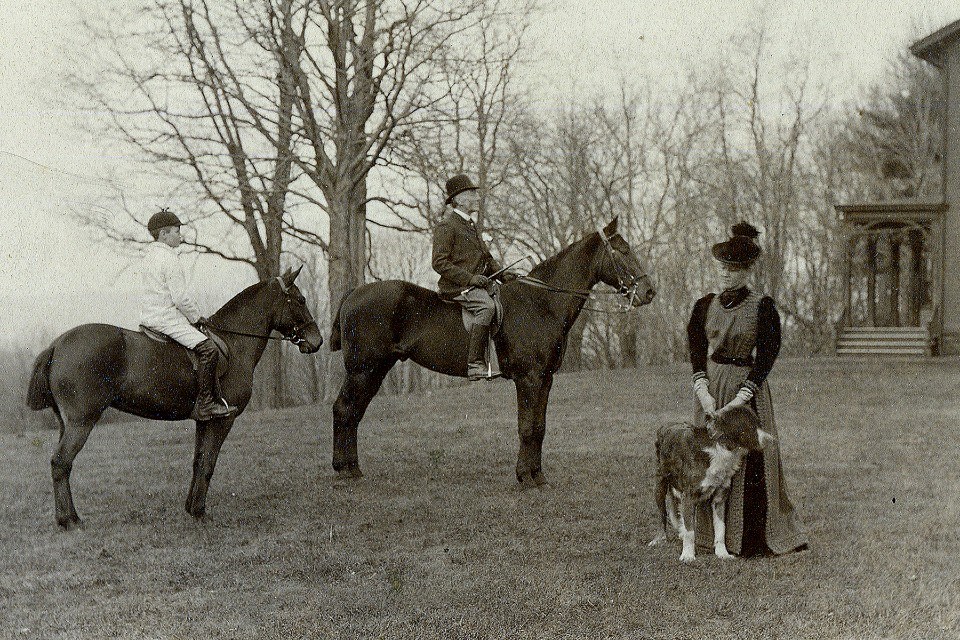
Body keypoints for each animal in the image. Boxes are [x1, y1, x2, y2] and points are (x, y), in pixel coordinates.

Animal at [26, 266, 324, 528]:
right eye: (300, 300)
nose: (317, 340)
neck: (234, 342)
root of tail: (56, 344)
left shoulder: (204, 420)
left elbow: (198, 462)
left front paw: (191, 509)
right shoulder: (223, 420)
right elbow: (208, 463)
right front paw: (200, 512)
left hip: (67, 423)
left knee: (61, 464)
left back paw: (69, 518)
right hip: (82, 421)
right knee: (61, 463)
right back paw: (69, 521)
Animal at [328, 218, 652, 488]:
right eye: (623, 251)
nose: (649, 291)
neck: (541, 303)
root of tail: (354, 293)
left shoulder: (545, 379)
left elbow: (540, 427)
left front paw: (539, 476)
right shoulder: (529, 379)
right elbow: (527, 427)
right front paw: (525, 478)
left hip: (375, 370)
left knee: (353, 412)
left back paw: (353, 469)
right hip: (362, 370)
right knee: (344, 409)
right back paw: (343, 470)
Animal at [644, 408, 772, 564]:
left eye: (758, 423)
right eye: (750, 426)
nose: (771, 440)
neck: (721, 448)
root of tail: (666, 425)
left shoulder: (720, 498)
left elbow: (721, 528)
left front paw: (722, 553)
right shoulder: (689, 496)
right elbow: (690, 531)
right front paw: (688, 555)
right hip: (660, 484)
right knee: (662, 514)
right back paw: (660, 538)